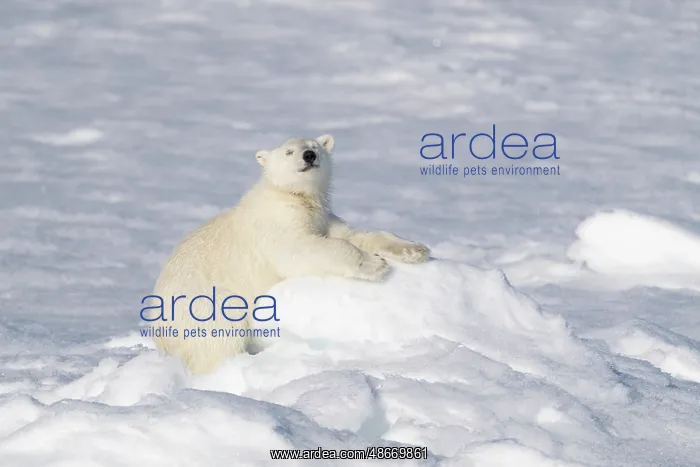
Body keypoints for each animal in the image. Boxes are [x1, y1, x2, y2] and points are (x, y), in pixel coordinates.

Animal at [150, 135, 430, 374]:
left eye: (315, 146)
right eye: (289, 151)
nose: (309, 155)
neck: (293, 197)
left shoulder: (322, 218)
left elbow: (354, 235)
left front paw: (415, 250)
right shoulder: (276, 225)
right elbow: (301, 250)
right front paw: (375, 265)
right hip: (205, 306)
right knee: (218, 341)